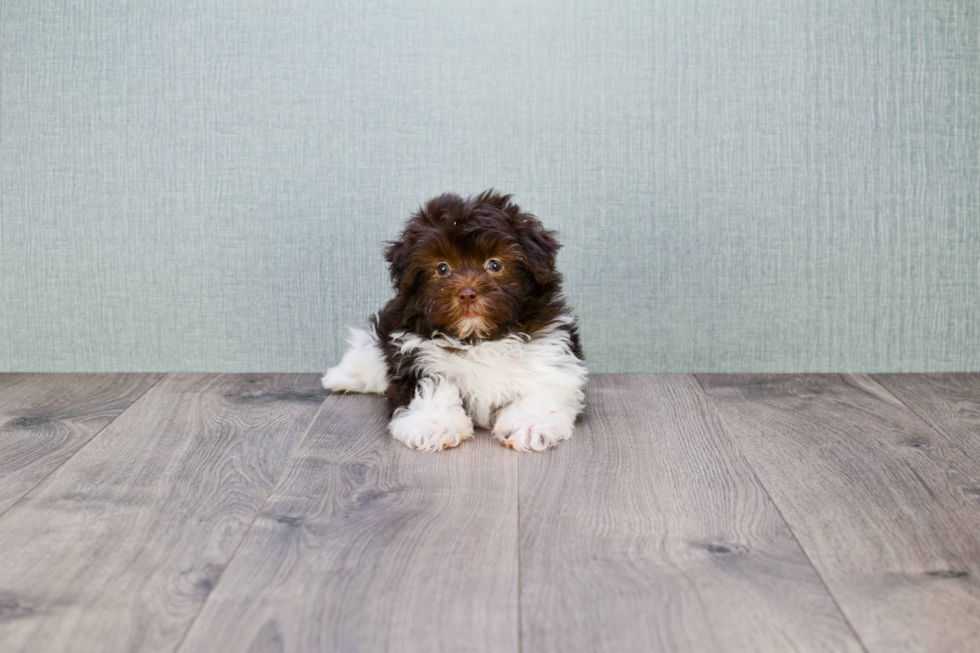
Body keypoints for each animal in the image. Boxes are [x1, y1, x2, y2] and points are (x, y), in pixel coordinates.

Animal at [322, 191, 584, 450]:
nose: (467, 293)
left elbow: (541, 386)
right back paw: (339, 377)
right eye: (442, 268)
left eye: (494, 264)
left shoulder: (548, 349)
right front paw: (433, 425)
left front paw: (530, 425)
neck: (477, 339)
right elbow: (432, 386)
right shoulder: (416, 355)